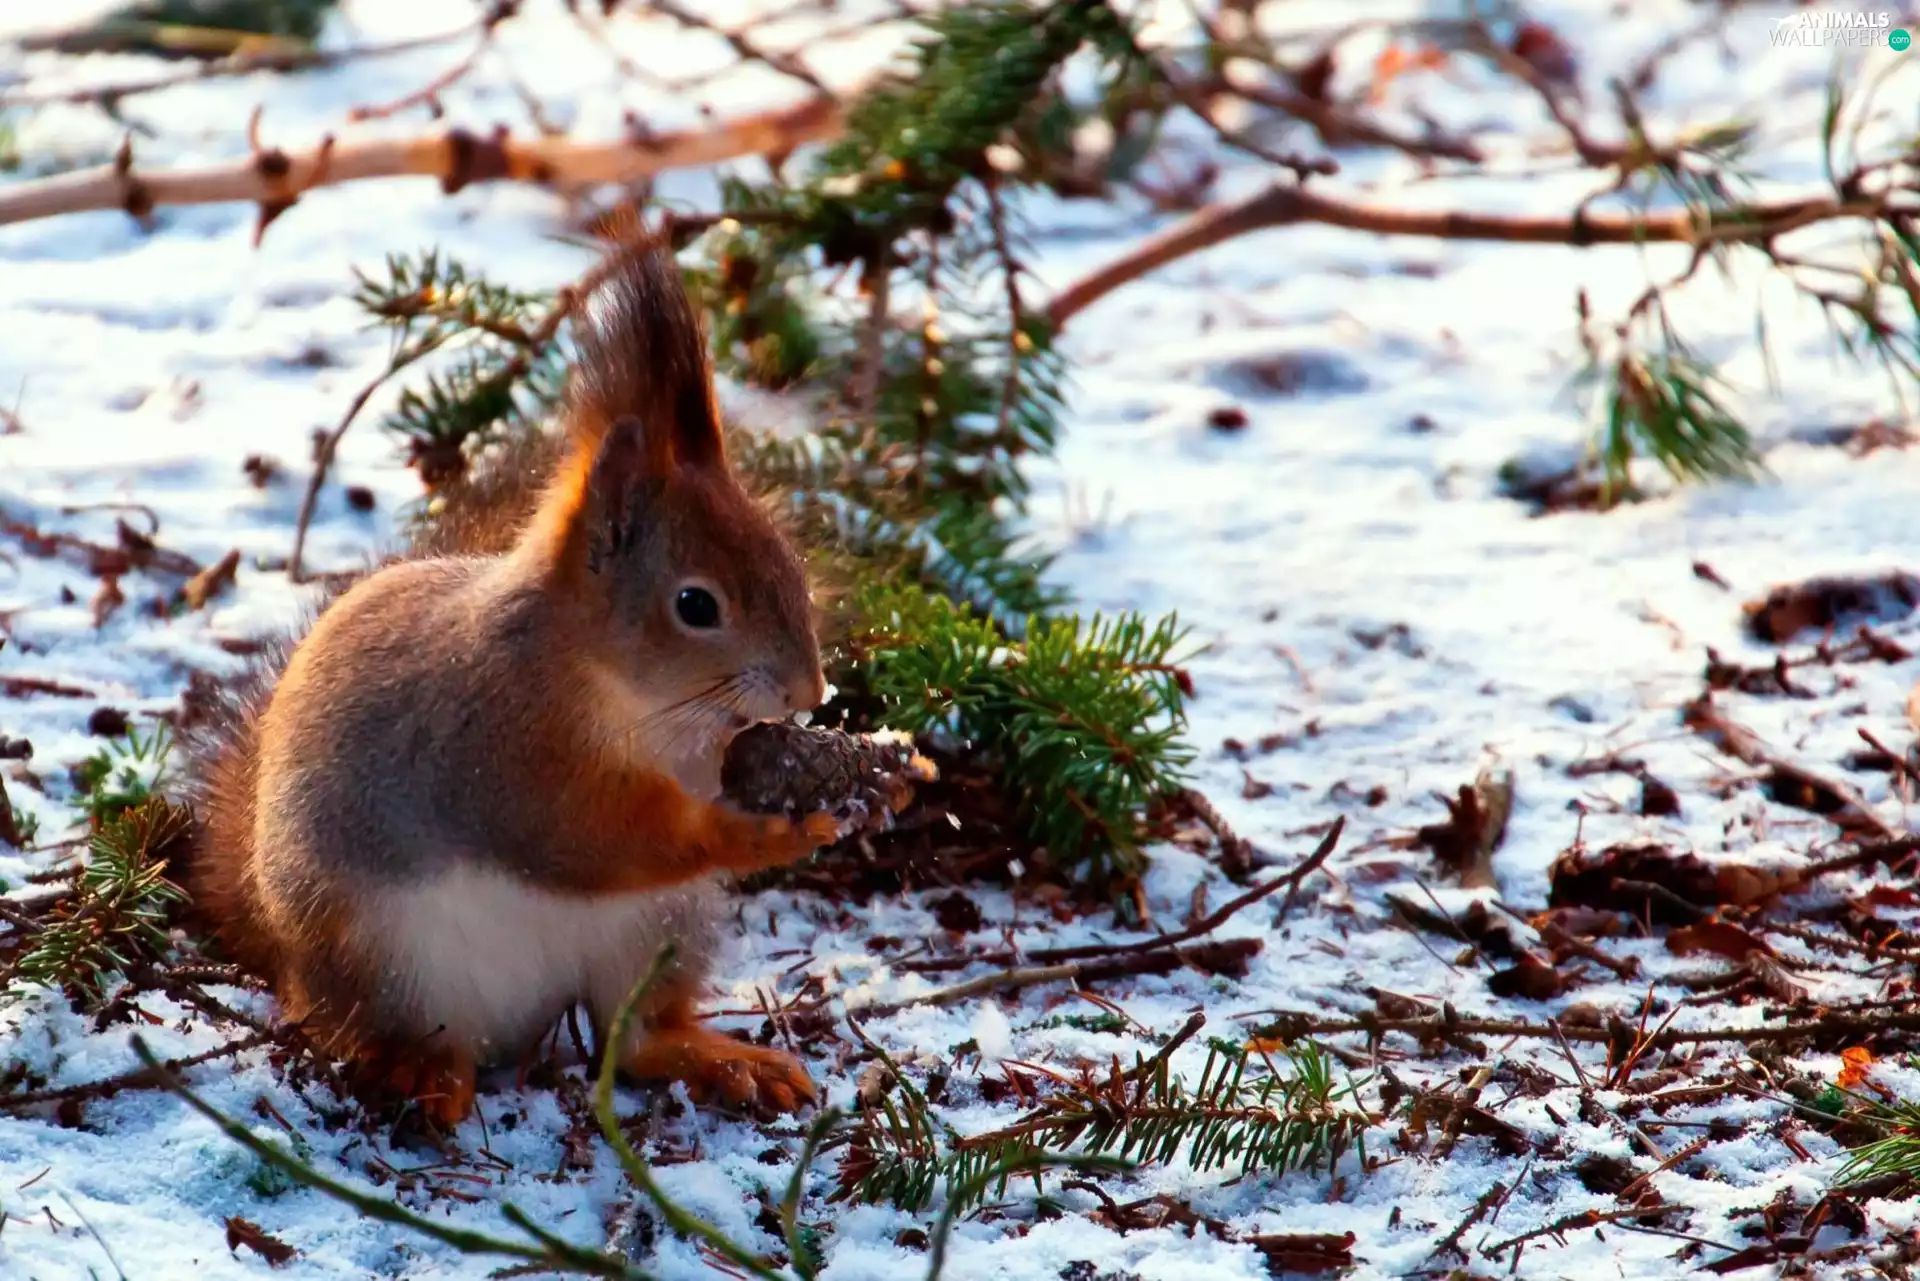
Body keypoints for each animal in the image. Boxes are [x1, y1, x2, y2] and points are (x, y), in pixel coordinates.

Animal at [179, 236, 842, 1125]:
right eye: (696, 605)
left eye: (791, 563)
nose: (808, 694)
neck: (629, 699)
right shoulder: (503, 749)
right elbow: (593, 837)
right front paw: (764, 830)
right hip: (383, 957)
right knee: (376, 1028)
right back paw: (420, 1072)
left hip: (658, 929)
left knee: (637, 1039)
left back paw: (726, 1061)